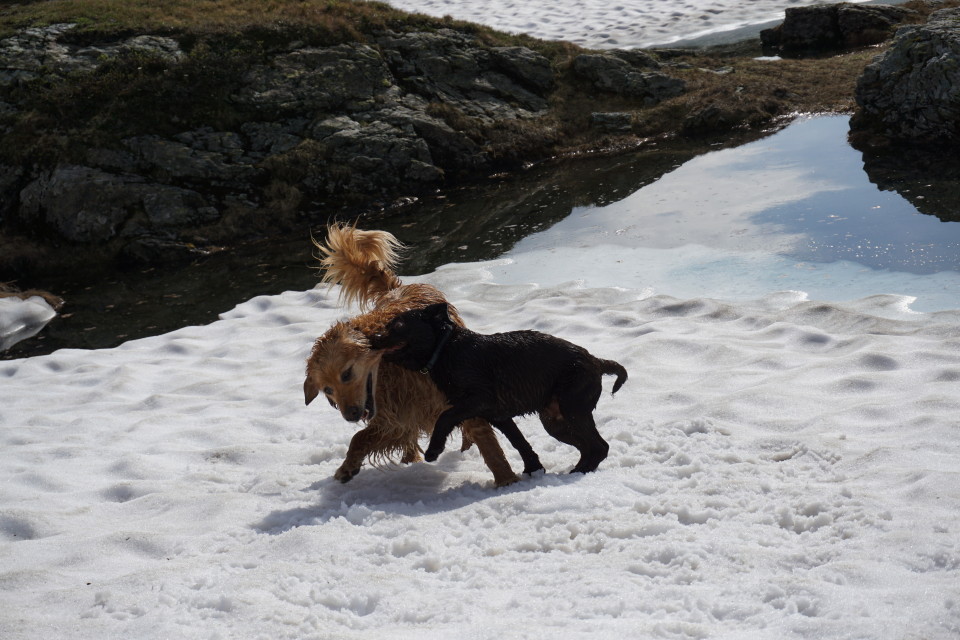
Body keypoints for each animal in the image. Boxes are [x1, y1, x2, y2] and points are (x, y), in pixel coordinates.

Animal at [306, 225, 516, 484]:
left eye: (346, 374)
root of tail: (398, 288)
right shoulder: (394, 417)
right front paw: (348, 467)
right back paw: (410, 458)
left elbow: (487, 442)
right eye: (327, 389)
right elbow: (361, 438)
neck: (393, 366)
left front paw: (507, 480)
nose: (350, 416)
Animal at [370, 302, 632, 472]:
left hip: (573, 409)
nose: (373, 339)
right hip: (555, 422)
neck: (446, 349)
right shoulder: (498, 414)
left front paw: (434, 450)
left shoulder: (480, 399)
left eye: (398, 325)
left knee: (599, 446)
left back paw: (580, 473)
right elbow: (519, 442)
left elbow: (444, 418)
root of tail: (596, 361)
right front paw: (533, 469)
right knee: (589, 447)